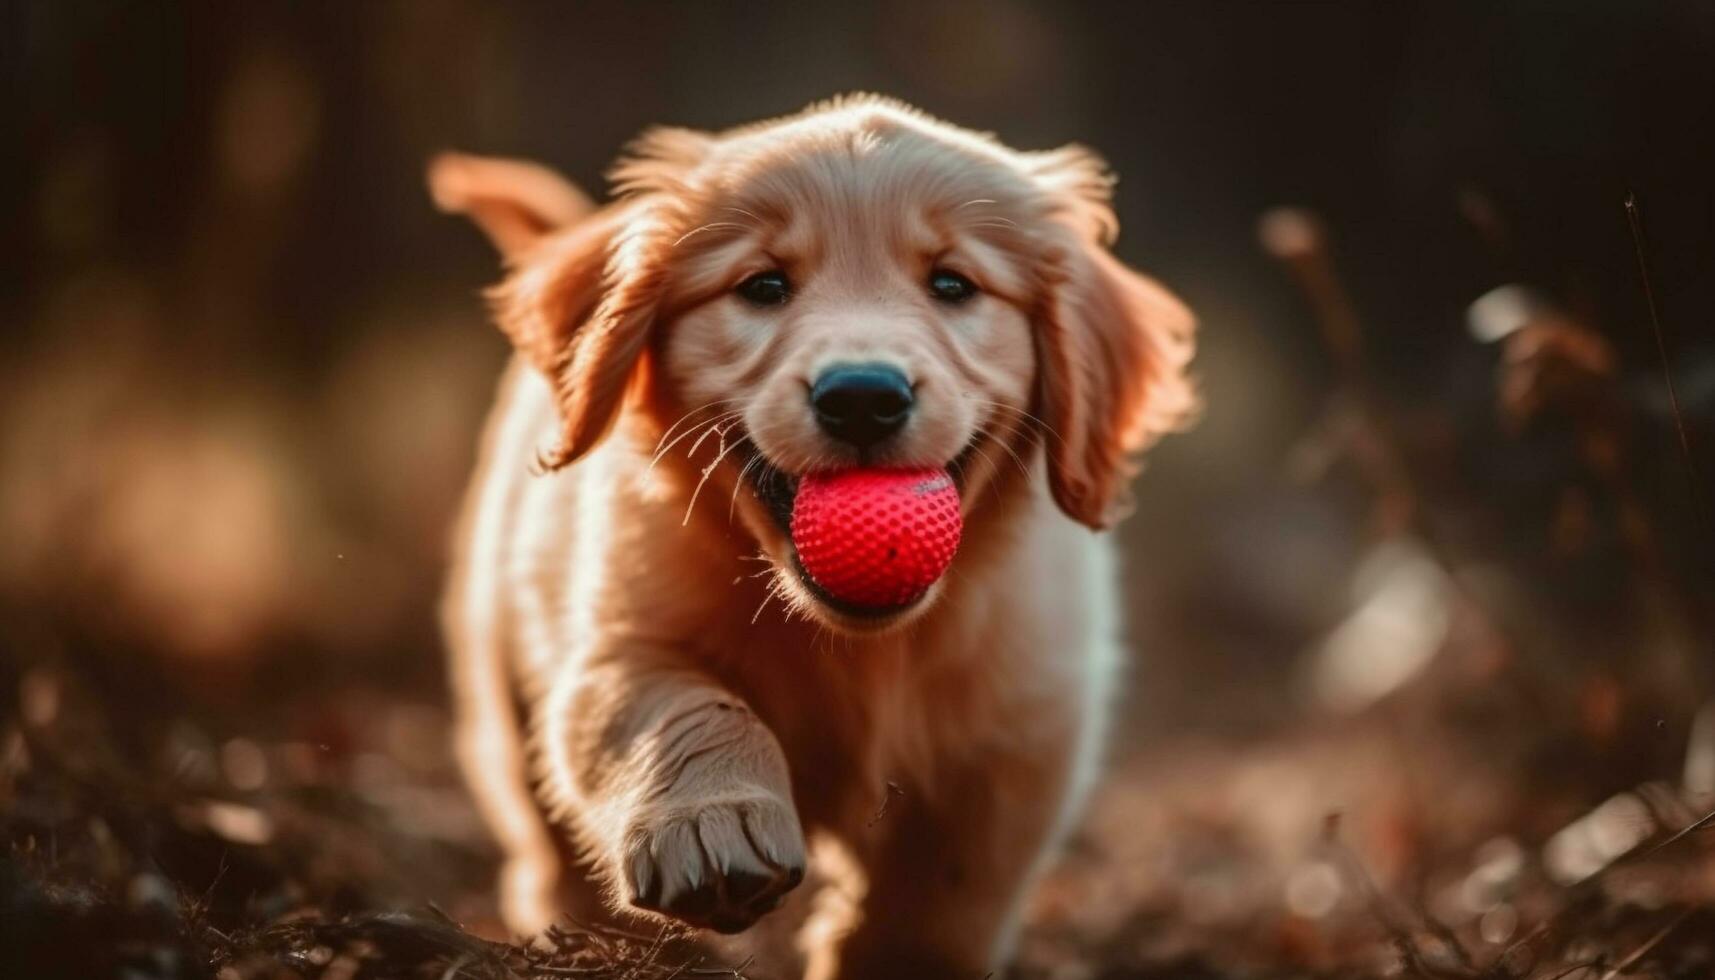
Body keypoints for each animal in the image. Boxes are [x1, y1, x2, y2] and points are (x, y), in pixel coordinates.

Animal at [435, 93, 1200, 980]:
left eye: (952, 285)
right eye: (763, 286)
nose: (862, 396)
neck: (858, 642)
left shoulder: (1020, 730)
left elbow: (942, 892)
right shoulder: (617, 644)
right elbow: (683, 710)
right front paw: (715, 822)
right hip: (498, 659)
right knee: (541, 830)